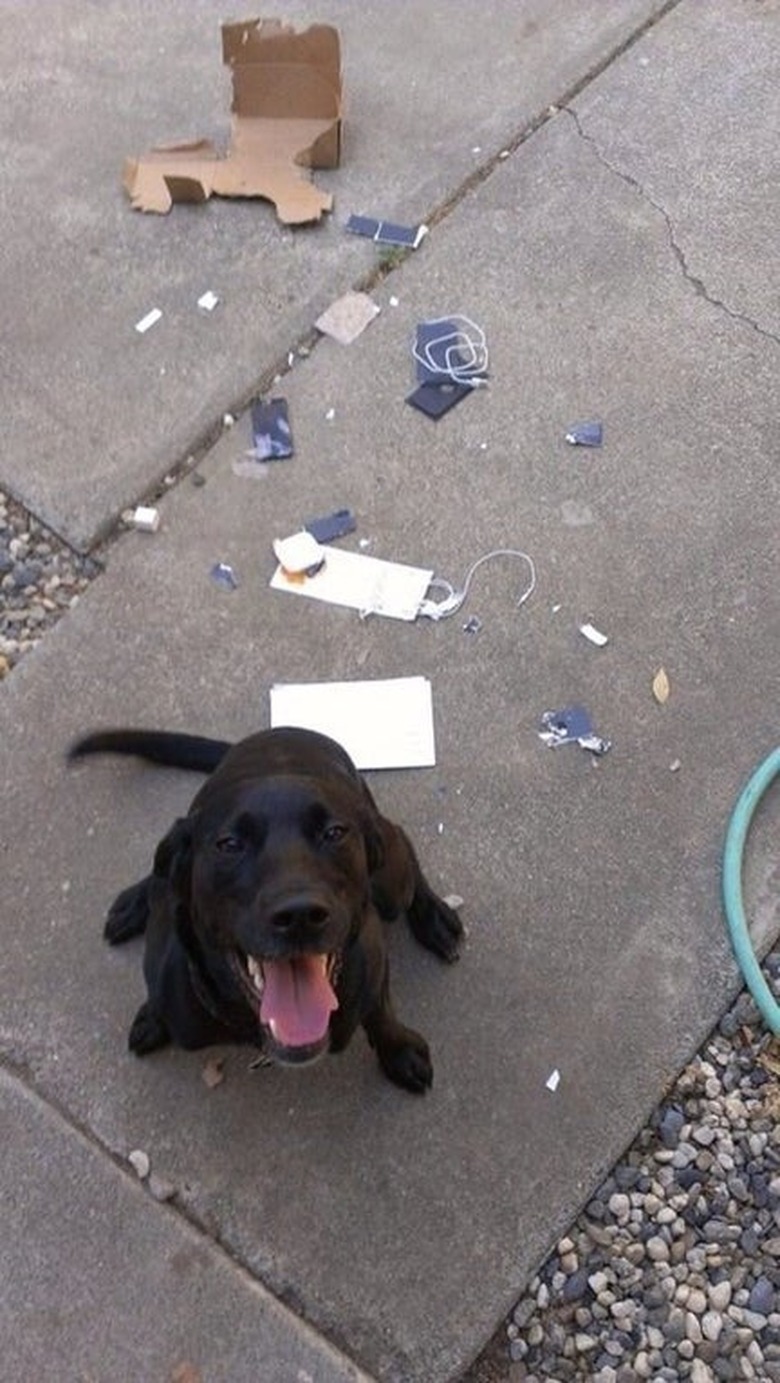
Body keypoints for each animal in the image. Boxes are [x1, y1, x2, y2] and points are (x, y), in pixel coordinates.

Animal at [68, 724, 461, 1089]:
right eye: (229, 844)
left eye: (334, 833)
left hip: (390, 877)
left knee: (405, 847)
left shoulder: (374, 966)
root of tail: (285, 730)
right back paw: (135, 903)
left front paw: (400, 1050)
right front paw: (153, 1014)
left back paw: (436, 918)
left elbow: (382, 1013)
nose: (300, 915)